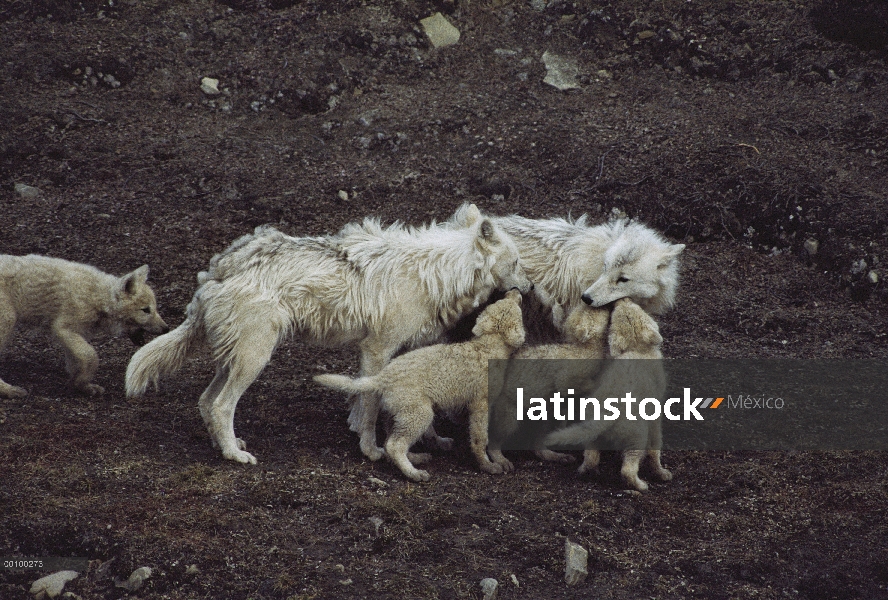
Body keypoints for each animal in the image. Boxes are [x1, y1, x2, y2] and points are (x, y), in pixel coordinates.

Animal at [0, 254, 168, 398]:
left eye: (155, 308)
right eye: (146, 310)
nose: (166, 329)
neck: (98, 297)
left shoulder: (72, 334)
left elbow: (78, 361)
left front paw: (82, 385)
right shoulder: (63, 329)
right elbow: (91, 356)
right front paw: (80, 383)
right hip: (8, 320)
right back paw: (9, 390)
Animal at [122, 205, 532, 464]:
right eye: (516, 263)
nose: (527, 288)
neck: (436, 272)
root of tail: (220, 267)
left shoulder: (395, 351)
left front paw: (431, 439)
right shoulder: (377, 350)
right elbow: (370, 404)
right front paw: (371, 450)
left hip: (237, 358)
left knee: (207, 402)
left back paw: (224, 446)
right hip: (255, 359)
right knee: (222, 404)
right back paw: (235, 456)